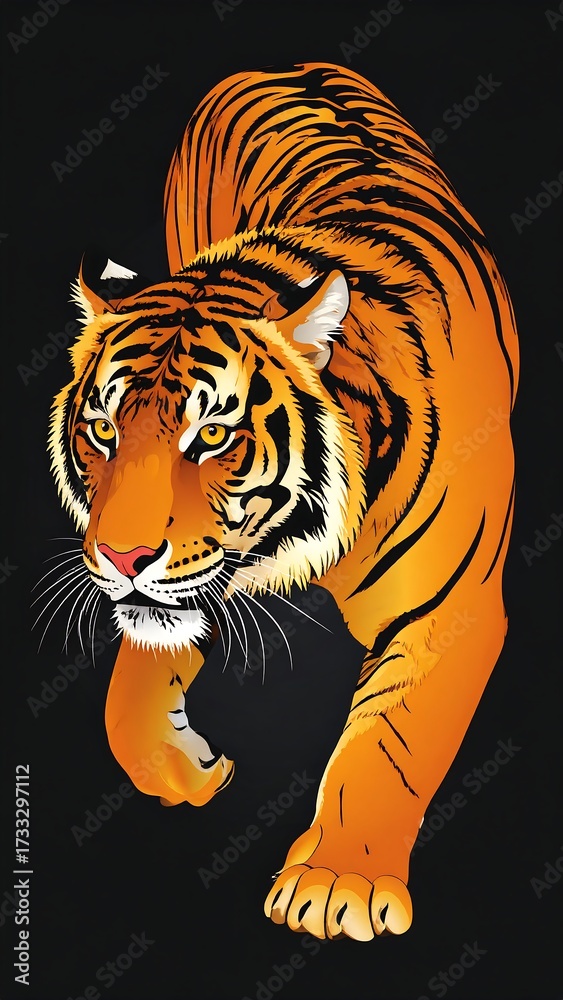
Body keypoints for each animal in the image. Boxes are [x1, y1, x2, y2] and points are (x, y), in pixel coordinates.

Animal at [48, 62, 518, 941]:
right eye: (102, 429)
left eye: (211, 435)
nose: (122, 558)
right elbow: (130, 693)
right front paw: (188, 770)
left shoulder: (449, 605)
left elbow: (388, 745)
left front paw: (337, 885)